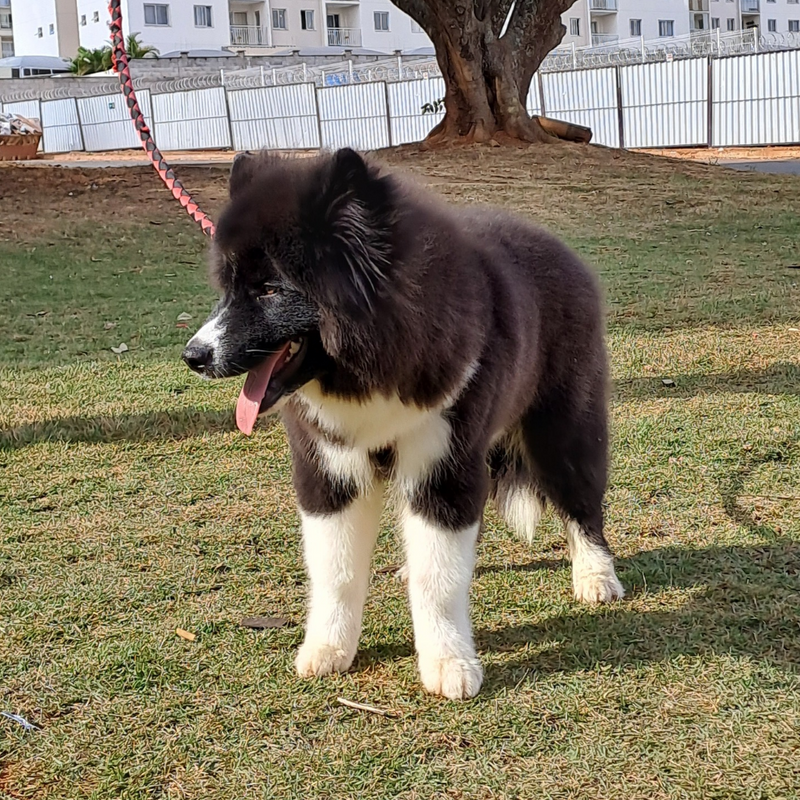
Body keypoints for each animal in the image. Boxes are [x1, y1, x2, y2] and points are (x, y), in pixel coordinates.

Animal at [183, 150, 624, 700]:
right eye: (227, 288)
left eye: (268, 290)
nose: (193, 356)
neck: (374, 361)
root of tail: (562, 250)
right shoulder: (330, 471)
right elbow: (336, 569)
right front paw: (328, 649)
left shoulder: (443, 463)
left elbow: (440, 578)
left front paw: (449, 663)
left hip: (561, 428)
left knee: (582, 502)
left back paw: (596, 576)